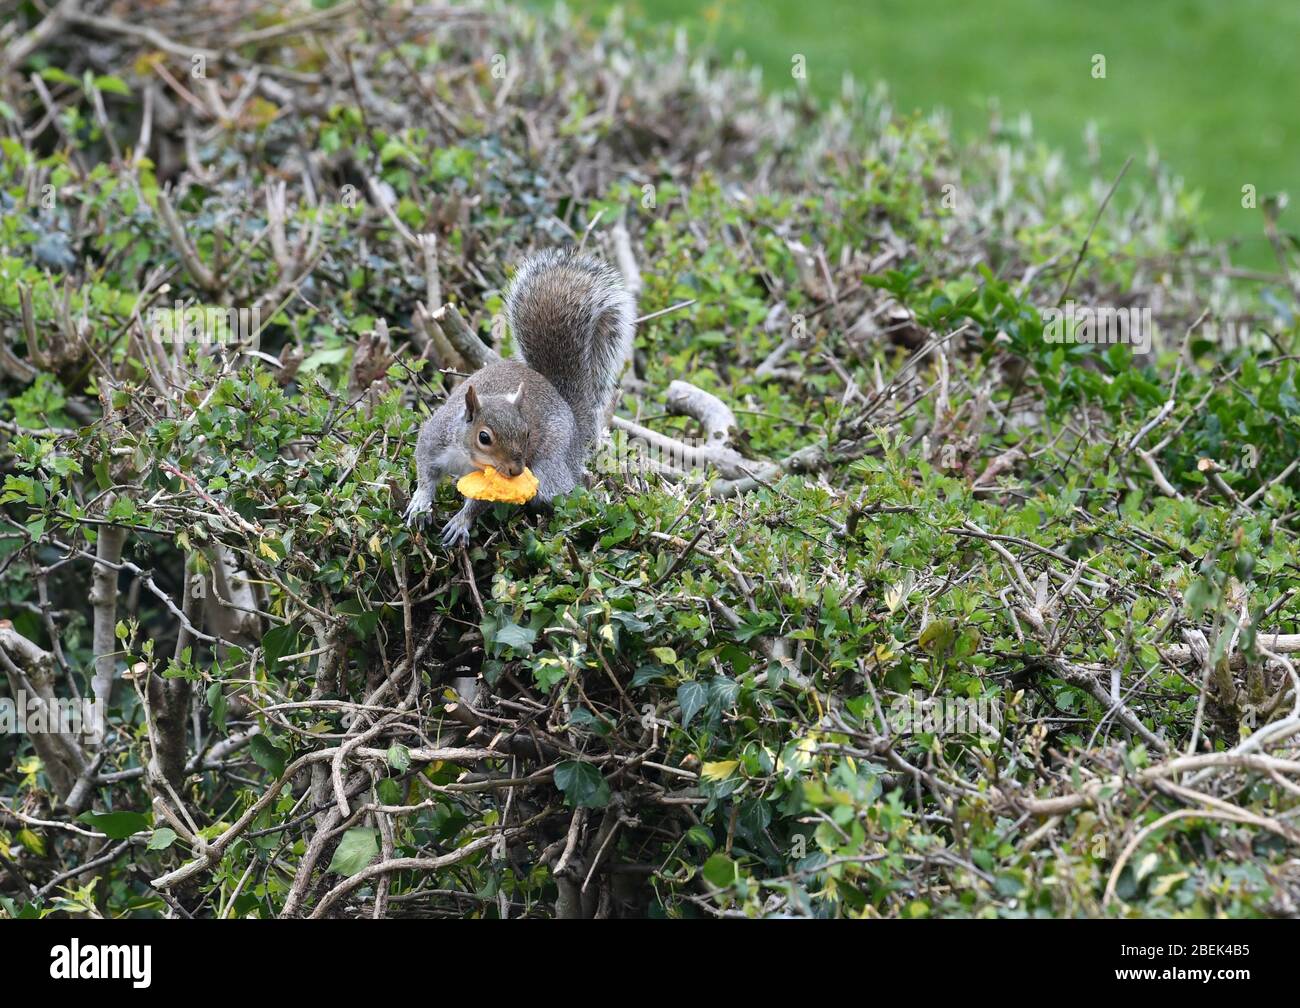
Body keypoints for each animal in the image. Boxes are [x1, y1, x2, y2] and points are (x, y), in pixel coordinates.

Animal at [404, 248, 636, 546]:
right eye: (484, 437)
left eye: (527, 434)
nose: (516, 470)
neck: (466, 457)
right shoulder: (435, 439)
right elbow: (425, 470)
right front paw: (420, 502)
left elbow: (480, 503)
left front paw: (461, 521)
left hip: (550, 464)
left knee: (566, 487)